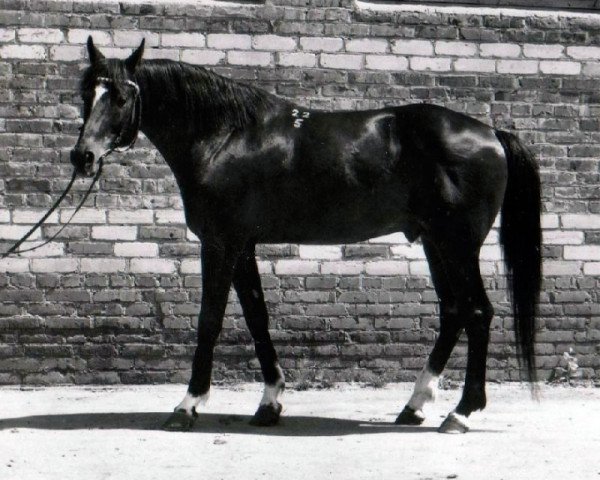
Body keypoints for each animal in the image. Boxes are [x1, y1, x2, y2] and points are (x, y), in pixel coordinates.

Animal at [69, 38, 540, 436]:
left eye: (122, 97)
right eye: (86, 94)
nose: (82, 157)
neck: (226, 136)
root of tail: (492, 134)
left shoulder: (220, 243)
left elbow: (210, 321)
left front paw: (188, 406)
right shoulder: (242, 246)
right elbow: (257, 318)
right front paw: (269, 403)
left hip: (458, 245)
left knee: (477, 312)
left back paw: (460, 413)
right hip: (434, 243)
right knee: (454, 311)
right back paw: (414, 406)